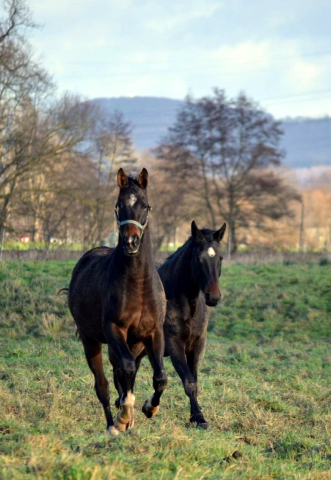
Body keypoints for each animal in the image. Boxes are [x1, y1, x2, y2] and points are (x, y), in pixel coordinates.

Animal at [68, 168, 167, 436]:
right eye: (119, 205)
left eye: (145, 205)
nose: (131, 242)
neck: (138, 284)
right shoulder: (115, 330)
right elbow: (127, 369)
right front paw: (123, 416)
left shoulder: (153, 332)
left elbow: (159, 377)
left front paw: (149, 408)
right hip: (92, 340)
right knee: (103, 383)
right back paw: (113, 424)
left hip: (132, 343)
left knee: (121, 373)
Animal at [134, 219, 226, 430]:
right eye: (198, 259)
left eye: (221, 258)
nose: (213, 297)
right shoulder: (174, 344)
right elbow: (188, 383)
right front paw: (198, 417)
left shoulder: (197, 344)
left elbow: (194, 381)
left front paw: (198, 417)